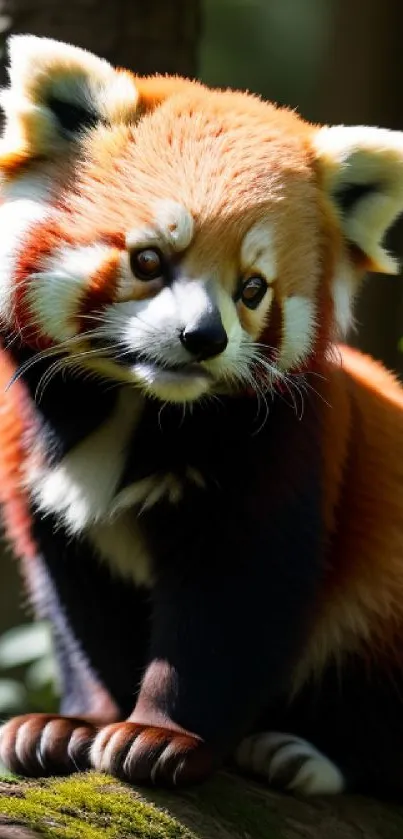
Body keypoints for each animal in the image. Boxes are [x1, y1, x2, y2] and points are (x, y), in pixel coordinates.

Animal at [0, 36, 403, 796]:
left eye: (252, 288)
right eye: (149, 259)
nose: (203, 337)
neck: (141, 404)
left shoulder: (282, 455)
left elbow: (229, 611)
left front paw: (162, 736)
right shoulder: (37, 473)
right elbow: (78, 614)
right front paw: (78, 723)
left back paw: (307, 754)